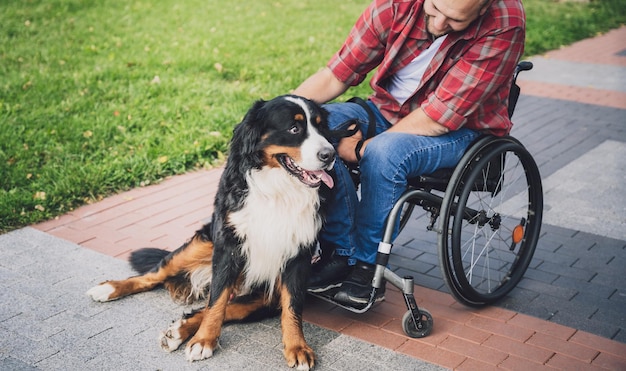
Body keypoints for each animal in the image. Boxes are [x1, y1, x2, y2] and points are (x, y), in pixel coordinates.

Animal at [86, 96, 336, 371]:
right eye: (294, 129)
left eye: (321, 127)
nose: (330, 154)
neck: (279, 190)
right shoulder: (228, 247)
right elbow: (216, 301)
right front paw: (204, 340)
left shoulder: (298, 256)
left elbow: (292, 308)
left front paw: (297, 347)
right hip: (202, 244)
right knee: (156, 276)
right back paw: (110, 289)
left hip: (264, 297)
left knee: (224, 308)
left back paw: (178, 332)